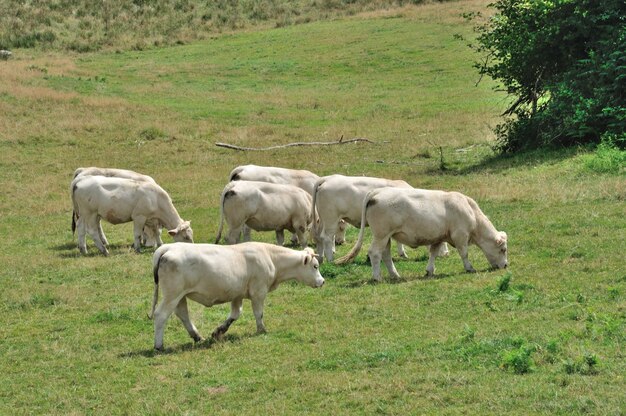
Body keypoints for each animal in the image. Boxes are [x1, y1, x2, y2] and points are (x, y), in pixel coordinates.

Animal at [146, 242, 322, 350]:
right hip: (172, 295)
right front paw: (262, 329)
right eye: (315, 266)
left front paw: (219, 331)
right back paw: (159, 345)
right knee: (161, 315)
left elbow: (235, 314)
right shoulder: (259, 292)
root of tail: (168, 247)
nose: (322, 281)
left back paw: (197, 337)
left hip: (180, 296)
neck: (270, 257)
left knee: (182, 314)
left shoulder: (237, 294)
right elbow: (259, 313)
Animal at [336, 188, 508, 280]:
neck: (470, 211)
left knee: (386, 255)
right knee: (374, 253)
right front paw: (469, 268)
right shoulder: (461, 236)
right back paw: (377, 277)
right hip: (381, 235)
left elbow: (433, 253)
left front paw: (429, 270)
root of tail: (377, 191)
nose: (506, 265)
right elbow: (464, 253)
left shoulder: (439, 237)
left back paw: (395, 275)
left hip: (387, 237)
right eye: (503, 249)